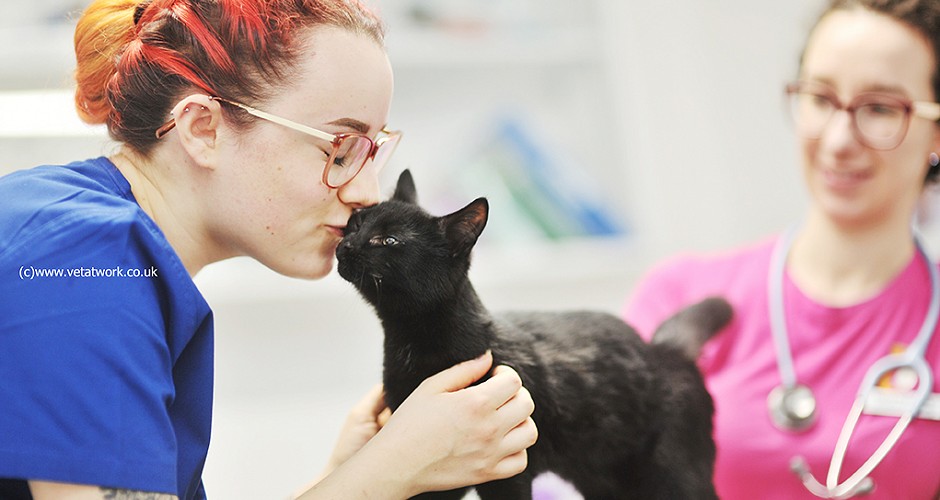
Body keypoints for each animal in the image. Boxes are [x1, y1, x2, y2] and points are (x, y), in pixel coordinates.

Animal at [334, 170, 732, 498]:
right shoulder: (435, 474)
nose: (345, 245)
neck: (411, 342)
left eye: (388, 241)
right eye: (355, 224)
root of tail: (662, 348)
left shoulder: (507, 469)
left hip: (676, 476)